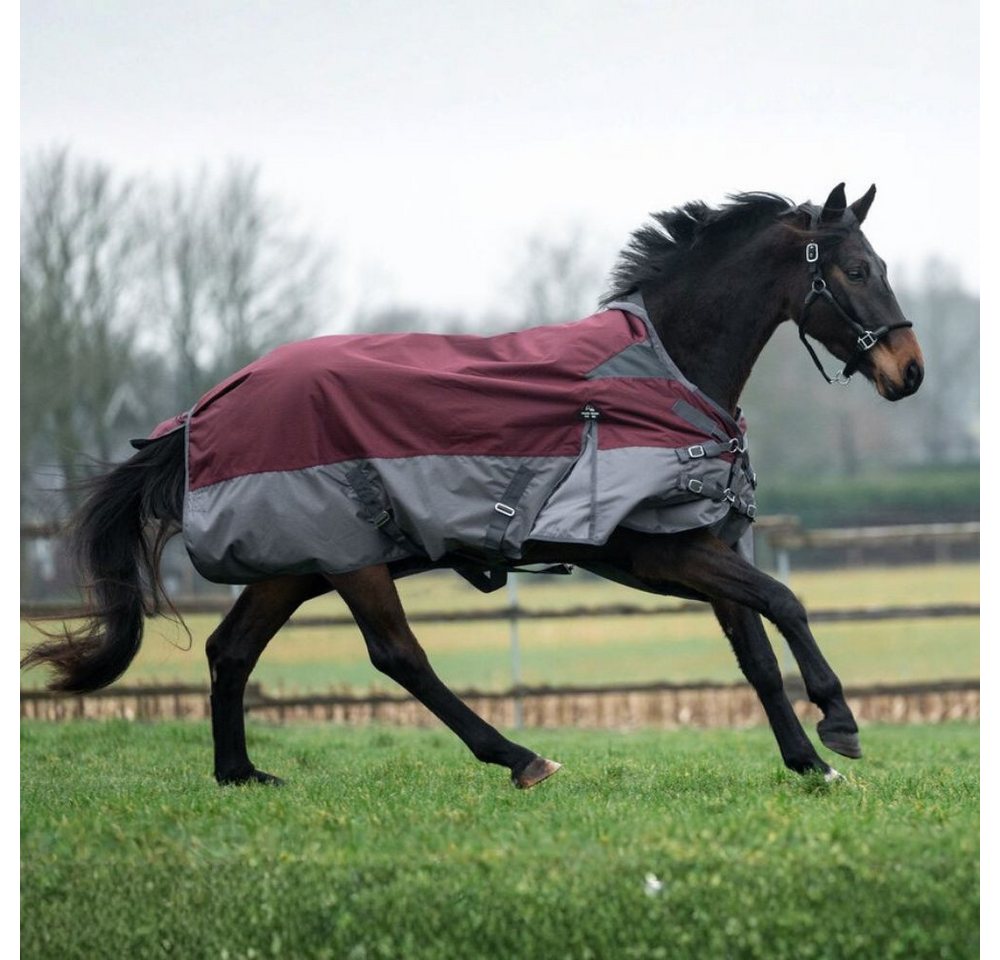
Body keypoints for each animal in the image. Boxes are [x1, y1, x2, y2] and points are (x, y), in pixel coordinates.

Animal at [23, 182, 924, 789]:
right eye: (853, 269)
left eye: (877, 263)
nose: (908, 371)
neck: (662, 370)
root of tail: (208, 407)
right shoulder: (658, 553)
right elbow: (786, 604)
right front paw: (839, 722)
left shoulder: (703, 542)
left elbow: (756, 653)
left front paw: (807, 762)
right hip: (352, 559)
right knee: (398, 656)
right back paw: (520, 757)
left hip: (296, 561)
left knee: (230, 650)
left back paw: (241, 774)